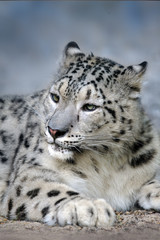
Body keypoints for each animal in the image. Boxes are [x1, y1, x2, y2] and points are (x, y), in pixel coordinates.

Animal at [0, 42, 159, 228]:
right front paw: (89, 206)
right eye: (55, 97)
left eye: (90, 107)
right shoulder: (31, 173)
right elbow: (51, 189)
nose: (54, 130)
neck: (105, 163)